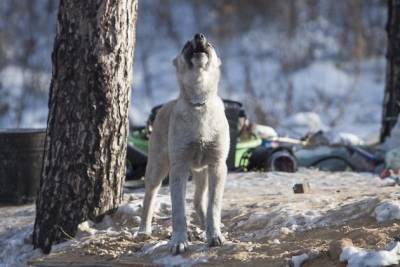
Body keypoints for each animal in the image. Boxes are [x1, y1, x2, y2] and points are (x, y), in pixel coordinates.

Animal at [139, 33, 230, 255]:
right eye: (186, 45)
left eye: (210, 44)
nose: (199, 36)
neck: (199, 103)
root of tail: (164, 106)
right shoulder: (178, 167)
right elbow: (178, 210)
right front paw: (179, 241)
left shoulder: (217, 165)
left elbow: (213, 206)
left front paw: (215, 236)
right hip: (157, 167)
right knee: (149, 196)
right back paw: (143, 230)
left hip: (202, 172)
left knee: (199, 202)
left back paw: (205, 228)